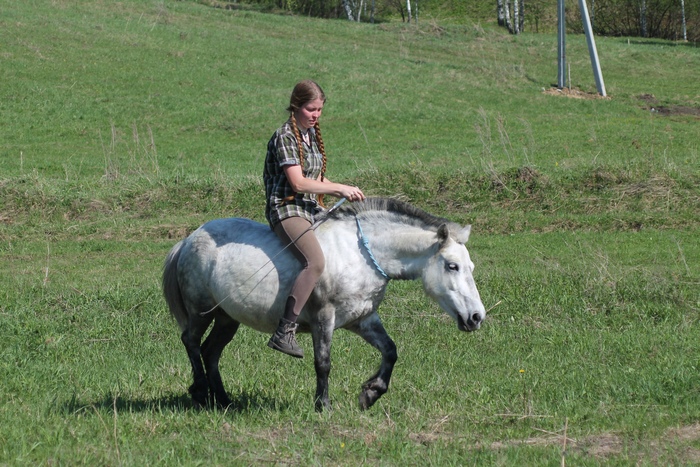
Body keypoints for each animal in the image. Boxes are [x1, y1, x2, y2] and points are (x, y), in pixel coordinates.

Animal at [161, 197, 484, 414]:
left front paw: (370, 393)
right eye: (452, 266)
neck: (360, 253)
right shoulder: (323, 318)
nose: (476, 317)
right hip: (201, 310)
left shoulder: (363, 319)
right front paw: (323, 405)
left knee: (211, 351)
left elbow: (391, 351)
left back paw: (224, 400)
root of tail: (189, 239)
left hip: (227, 318)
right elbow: (323, 362)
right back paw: (200, 392)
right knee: (191, 341)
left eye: (471, 266)